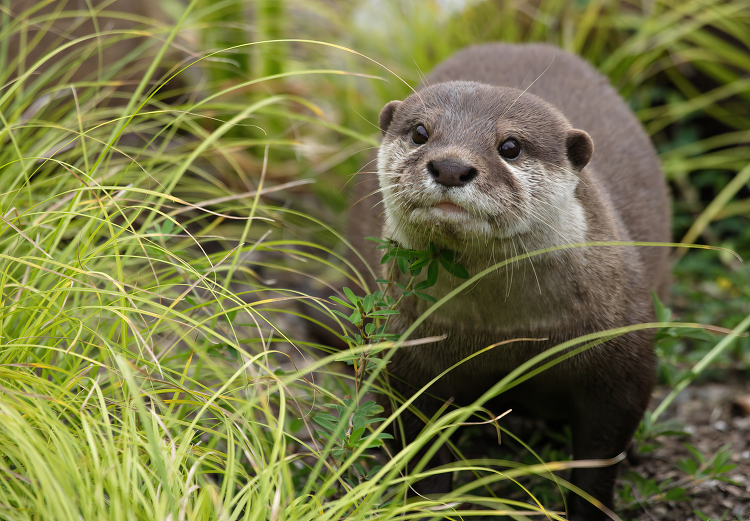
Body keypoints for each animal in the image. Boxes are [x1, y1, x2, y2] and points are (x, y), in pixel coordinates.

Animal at [350, 43, 672, 520]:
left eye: (511, 146)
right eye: (421, 132)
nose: (450, 167)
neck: (506, 333)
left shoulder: (622, 355)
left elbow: (601, 454)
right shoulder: (407, 355)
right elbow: (419, 444)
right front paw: (428, 504)